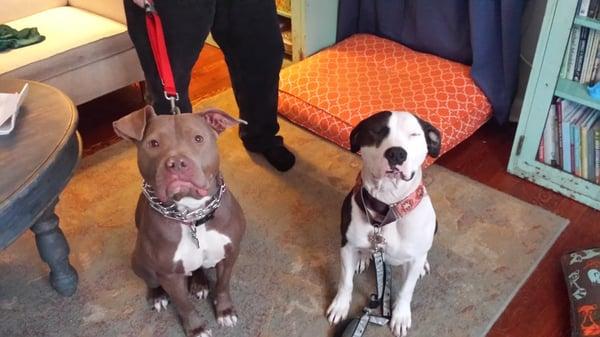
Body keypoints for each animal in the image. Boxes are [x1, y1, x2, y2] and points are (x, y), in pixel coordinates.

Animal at [112, 106, 246, 334]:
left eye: (198, 138)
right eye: (154, 143)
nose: (176, 163)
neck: (192, 216)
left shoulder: (230, 253)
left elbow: (222, 286)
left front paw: (225, 312)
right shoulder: (169, 275)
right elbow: (184, 305)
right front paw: (197, 329)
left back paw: (199, 284)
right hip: (139, 261)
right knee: (151, 280)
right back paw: (158, 296)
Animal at [326, 111, 442, 336]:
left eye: (414, 134)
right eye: (377, 131)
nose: (396, 153)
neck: (387, 206)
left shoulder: (412, 262)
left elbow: (406, 290)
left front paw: (400, 316)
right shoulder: (346, 246)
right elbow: (345, 281)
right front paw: (340, 305)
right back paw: (363, 257)